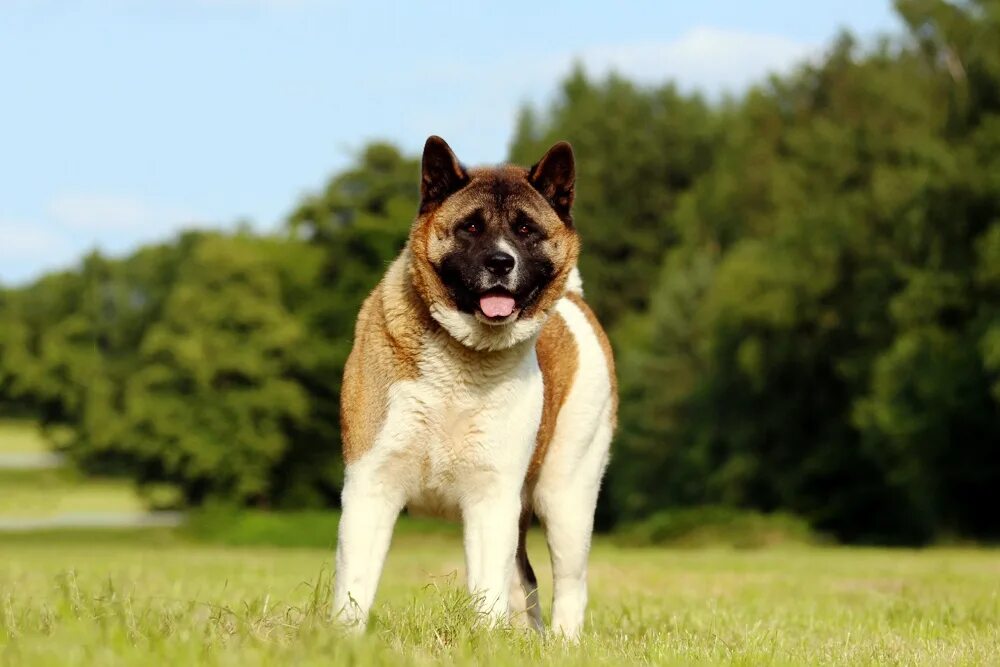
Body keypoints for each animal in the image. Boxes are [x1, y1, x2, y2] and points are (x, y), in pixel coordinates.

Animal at [334, 134, 616, 636]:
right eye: (469, 227)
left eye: (525, 229)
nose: (500, 262)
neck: (463, 358)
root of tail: (575, 300)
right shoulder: (372, 484)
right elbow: (356, 584)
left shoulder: (491, 498)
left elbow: (487, 588)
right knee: (525, 580)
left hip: (567, 496)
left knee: (569, 584)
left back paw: (562, 641)